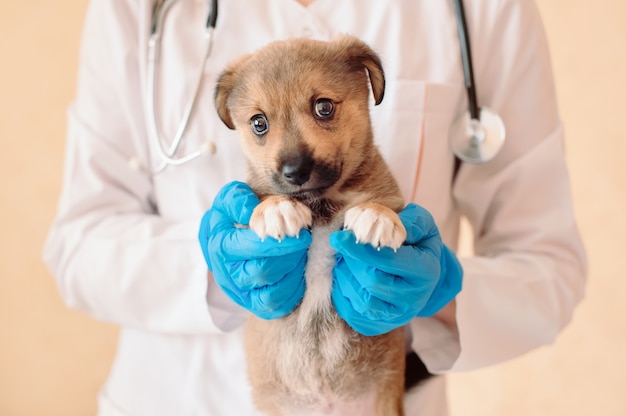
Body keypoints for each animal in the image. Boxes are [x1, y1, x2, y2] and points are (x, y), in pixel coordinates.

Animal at [214, 35, 408, 416]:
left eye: (324, 107)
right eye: (259, 123)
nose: (295, 171)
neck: (320, 206)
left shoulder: (396, 199)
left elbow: (384, 204)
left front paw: (376, 215)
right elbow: (257, 204)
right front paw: (276, 209)